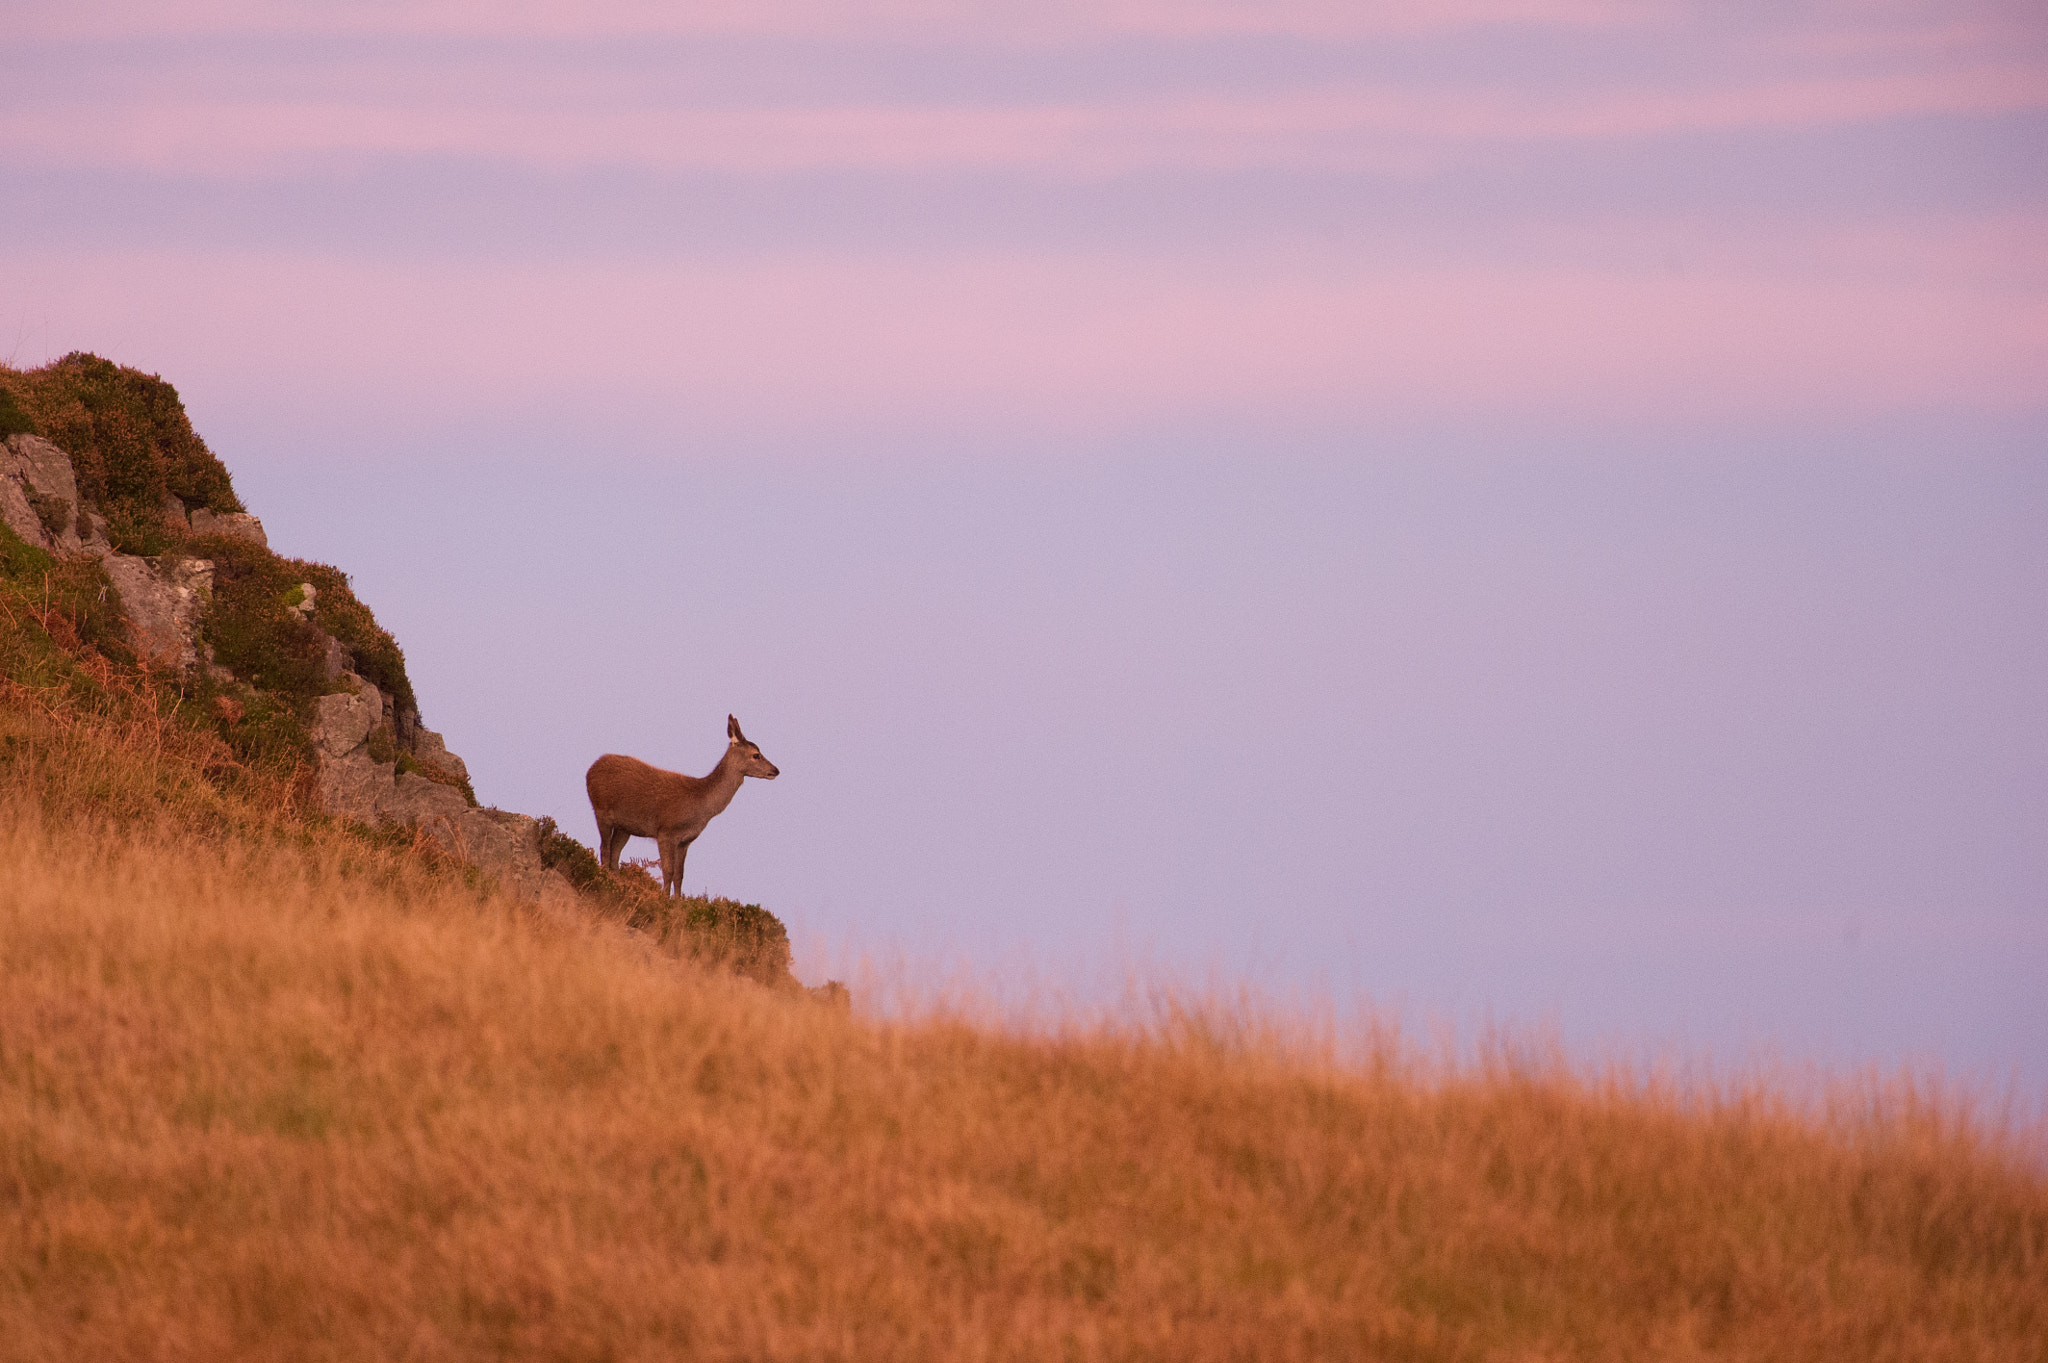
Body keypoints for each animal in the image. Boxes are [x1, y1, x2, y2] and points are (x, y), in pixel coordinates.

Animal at [585, 715, 780, 897]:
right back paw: (606, 880)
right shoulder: (665, 832)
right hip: (601, 809)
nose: (776, 770)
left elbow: (680, 875)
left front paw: (678, 902)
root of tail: (591, 769)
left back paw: (618, 883)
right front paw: (663, 899)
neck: (700, 804)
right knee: (604, 848)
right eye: (756, 754)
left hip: (624, 826)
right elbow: (668, 871)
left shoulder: (685, 841)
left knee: (614, 852)